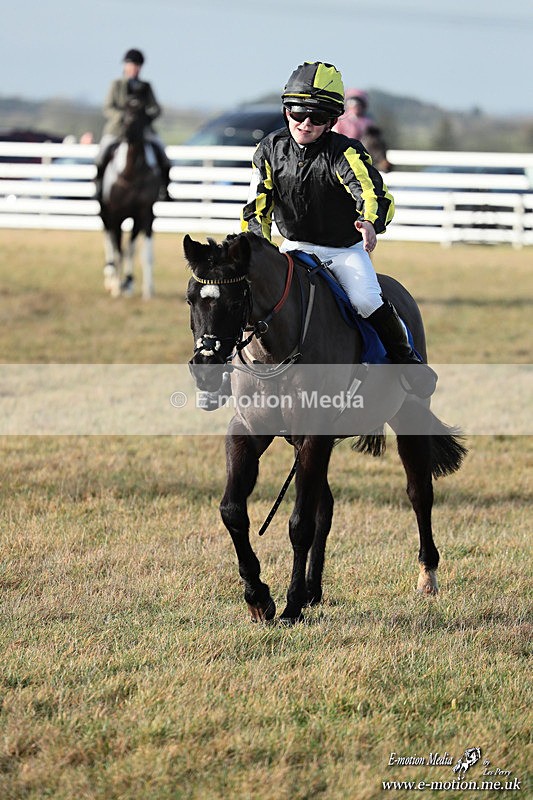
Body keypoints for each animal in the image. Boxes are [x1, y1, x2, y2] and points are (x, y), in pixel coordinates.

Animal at [99, 98, 162, 300]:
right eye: (123, 115)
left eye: (141, 115)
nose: (125, 134)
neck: (131, 172)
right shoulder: (116, 215)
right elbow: (117, 249)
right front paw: (116, 287)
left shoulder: (145, 215)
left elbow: (142, 253)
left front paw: (146, 290)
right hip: (105, 215)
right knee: (110, 243)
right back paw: (111, 278)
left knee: (129, 249)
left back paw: (127, 283)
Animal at [184, 231, 466, 624]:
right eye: (191, 298)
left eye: (237, 298)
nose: (205, 369)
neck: (276, 347)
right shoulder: (249, 432)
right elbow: (233, 511)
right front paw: (258, 597)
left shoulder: (314, 434)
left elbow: (300, 523)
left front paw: (290, 605)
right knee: (327, 505)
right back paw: (313, 590)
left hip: (408, 417)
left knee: (419, 493)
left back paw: (427, 576)